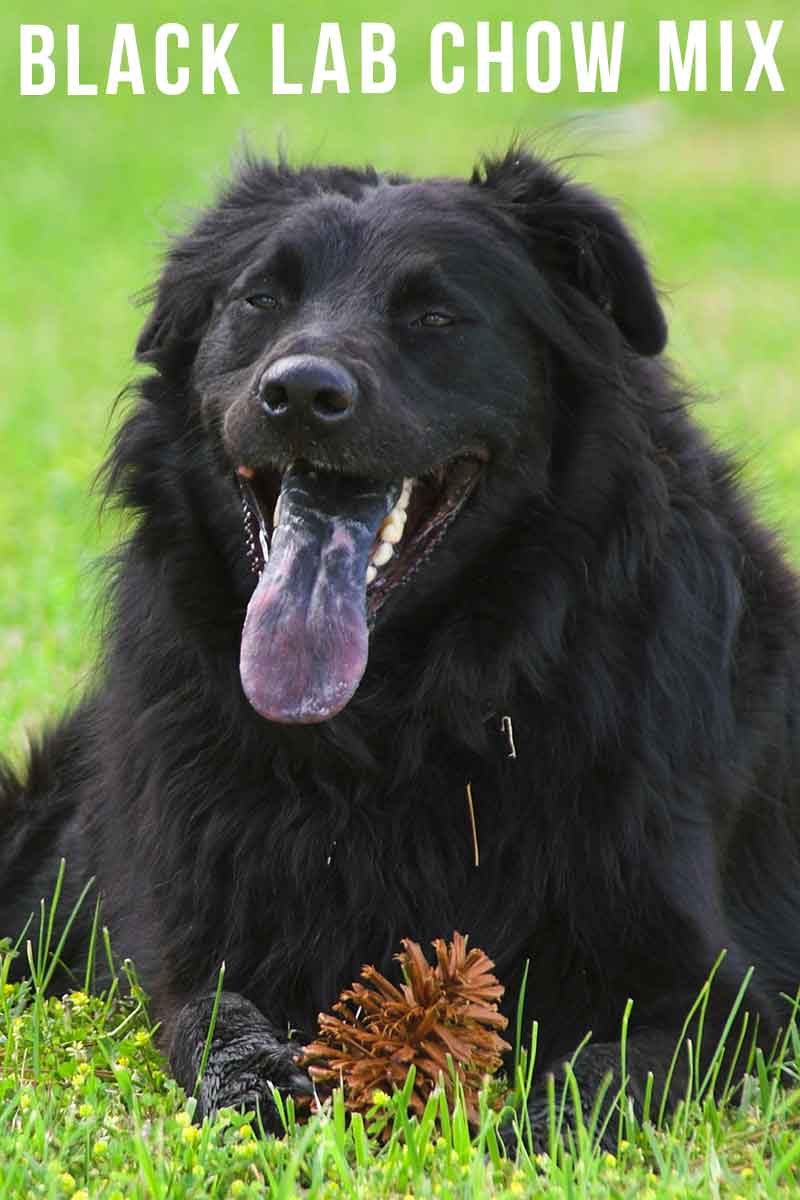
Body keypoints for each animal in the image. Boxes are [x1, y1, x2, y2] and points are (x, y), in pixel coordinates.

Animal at [1, 147, 800, 1132]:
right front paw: (257, 1082)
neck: (396, 717)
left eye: (435, 317)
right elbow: (205, 1015)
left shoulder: (716, 987)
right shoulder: (187, 932)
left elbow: (611, 1075)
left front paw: (520, 1130)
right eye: (259, 300)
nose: (301, 393)